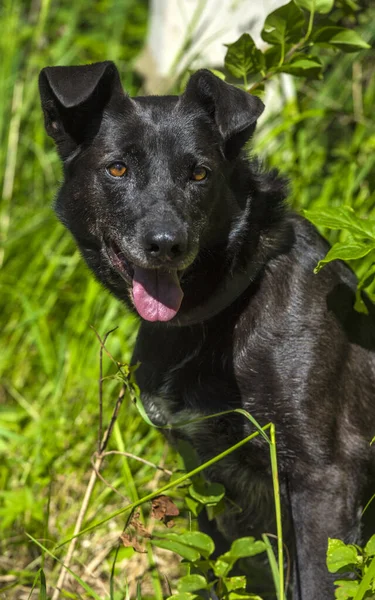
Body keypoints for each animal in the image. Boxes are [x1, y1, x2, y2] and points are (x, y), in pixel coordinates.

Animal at [39, 62, 375, 600]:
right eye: (117, 169)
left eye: (200, 173)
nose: (166, 244)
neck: (223, 310)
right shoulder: (204, 474)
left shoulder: (326, 476)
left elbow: (322, 579)